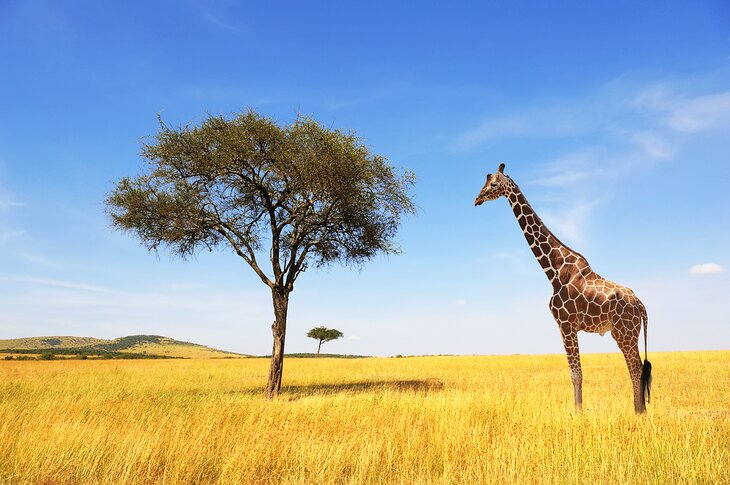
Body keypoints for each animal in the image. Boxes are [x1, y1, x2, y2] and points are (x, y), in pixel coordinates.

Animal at [474, 163, 652, 412]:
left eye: (493, 184)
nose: (477, 198)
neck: (554, 270)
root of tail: (642, 306)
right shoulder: (565, 327)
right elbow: (576, 373)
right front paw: (578, 412)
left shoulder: (566, 324)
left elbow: (576, 374)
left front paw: (577, 414)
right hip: (627, 332)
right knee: (638, 367)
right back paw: (640, 411)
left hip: (624, 332)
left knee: (635, 367)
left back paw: (638, 413)